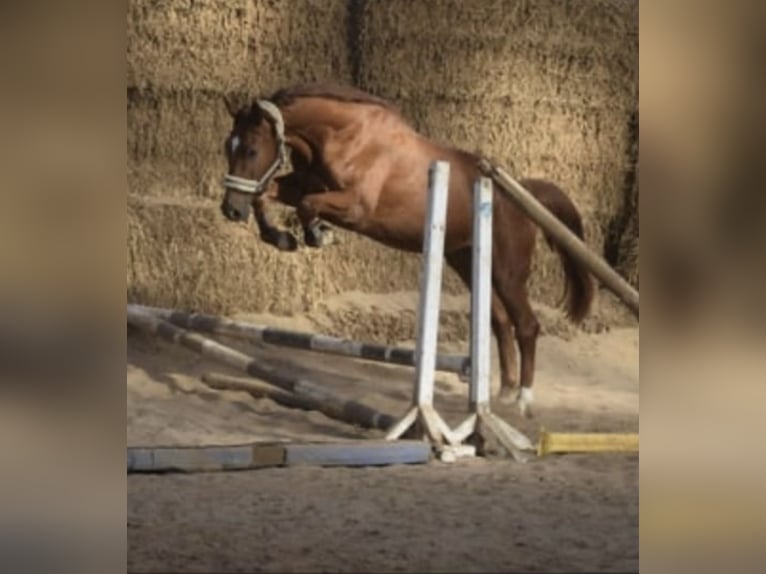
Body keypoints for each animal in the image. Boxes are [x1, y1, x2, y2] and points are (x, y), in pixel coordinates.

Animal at [220, 82, 594, 417]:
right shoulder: (302, 184)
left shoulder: (356, 208)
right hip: (466, 261)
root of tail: (523, 195)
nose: (230, 211)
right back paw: (501, 393)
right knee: (500, 321)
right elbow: (266, 195)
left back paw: (523, 401)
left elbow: (307, 205)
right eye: (228, 147)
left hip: (507, 272)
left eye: (251, 150)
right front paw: (281, 238)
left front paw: (317, 235)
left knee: (527, 325)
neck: (342, 137)